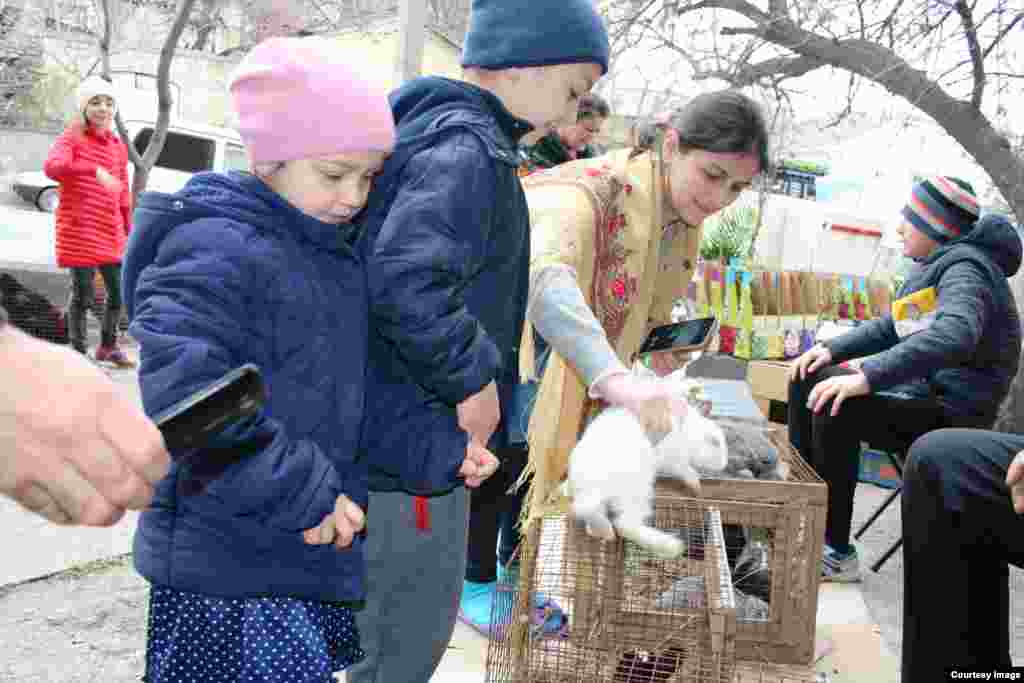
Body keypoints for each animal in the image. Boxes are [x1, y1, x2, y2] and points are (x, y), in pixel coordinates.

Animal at [569, 362, 729, 557]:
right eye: (715, 442)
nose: (724, 463)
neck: (687, 434)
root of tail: (594, 487)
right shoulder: (674, 460)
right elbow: (686, 470)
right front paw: (696, 485)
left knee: (590, 514)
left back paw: (603, 532)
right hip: (638, 493)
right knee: (624, 525)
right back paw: (670, 546)